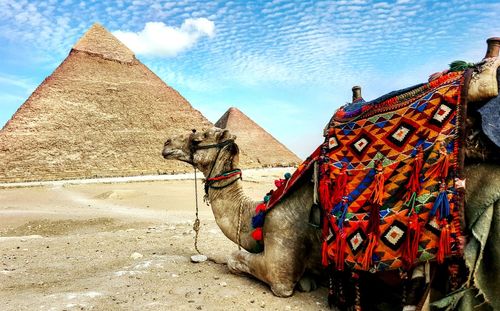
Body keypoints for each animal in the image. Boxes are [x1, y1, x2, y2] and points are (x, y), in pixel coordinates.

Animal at [164, 39, 500, 310]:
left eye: (197, 138)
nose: (166, 144)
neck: (257, 212)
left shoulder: (280, 259)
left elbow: (236, 261)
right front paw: (313, 280)